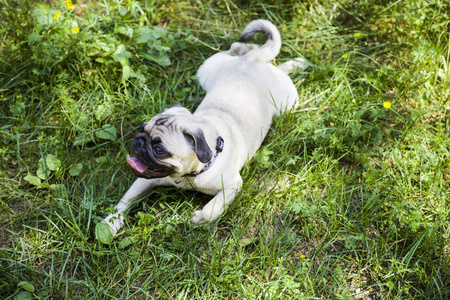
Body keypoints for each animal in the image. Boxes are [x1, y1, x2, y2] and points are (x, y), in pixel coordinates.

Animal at [100, 18, 308, 236]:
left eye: (159, 149)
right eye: (141, 128)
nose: (139, 143)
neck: (189, 175)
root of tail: (252, 61)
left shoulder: (233, 185)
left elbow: (213, 208)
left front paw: (200, 218)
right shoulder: (144, 179)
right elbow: (124, 201)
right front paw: (110, 223)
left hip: (288, 104)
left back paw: (295, 64)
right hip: (205, 73)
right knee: (240, 48)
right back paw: (253, 50)